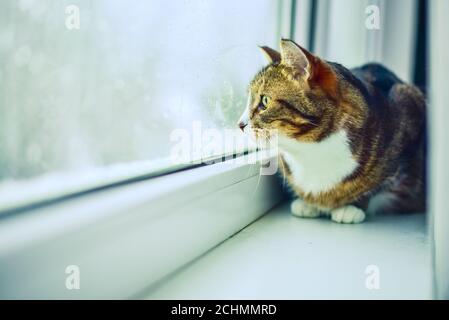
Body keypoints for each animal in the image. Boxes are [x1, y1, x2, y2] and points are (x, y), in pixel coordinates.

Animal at [236, 39, 426, 222]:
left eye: (265, 101)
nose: (239, 124)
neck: (309, 150)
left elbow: (375, 186)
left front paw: (352, 207)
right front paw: (308, 204)